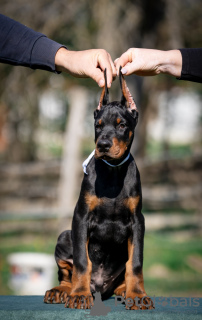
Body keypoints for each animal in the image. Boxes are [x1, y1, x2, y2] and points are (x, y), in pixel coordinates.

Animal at [44, 68, 154, 310]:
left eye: (122, 125)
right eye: (98, 125)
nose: (103, 145)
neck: (112, 171)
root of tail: (100, 288)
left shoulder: (137, 221)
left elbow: (136, 262)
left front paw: (137, 294)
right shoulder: (81, 217)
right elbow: (82, 262)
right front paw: (78, 294)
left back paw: (124, 290)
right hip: (65, 236)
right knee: (67, 274)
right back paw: (63, 291)